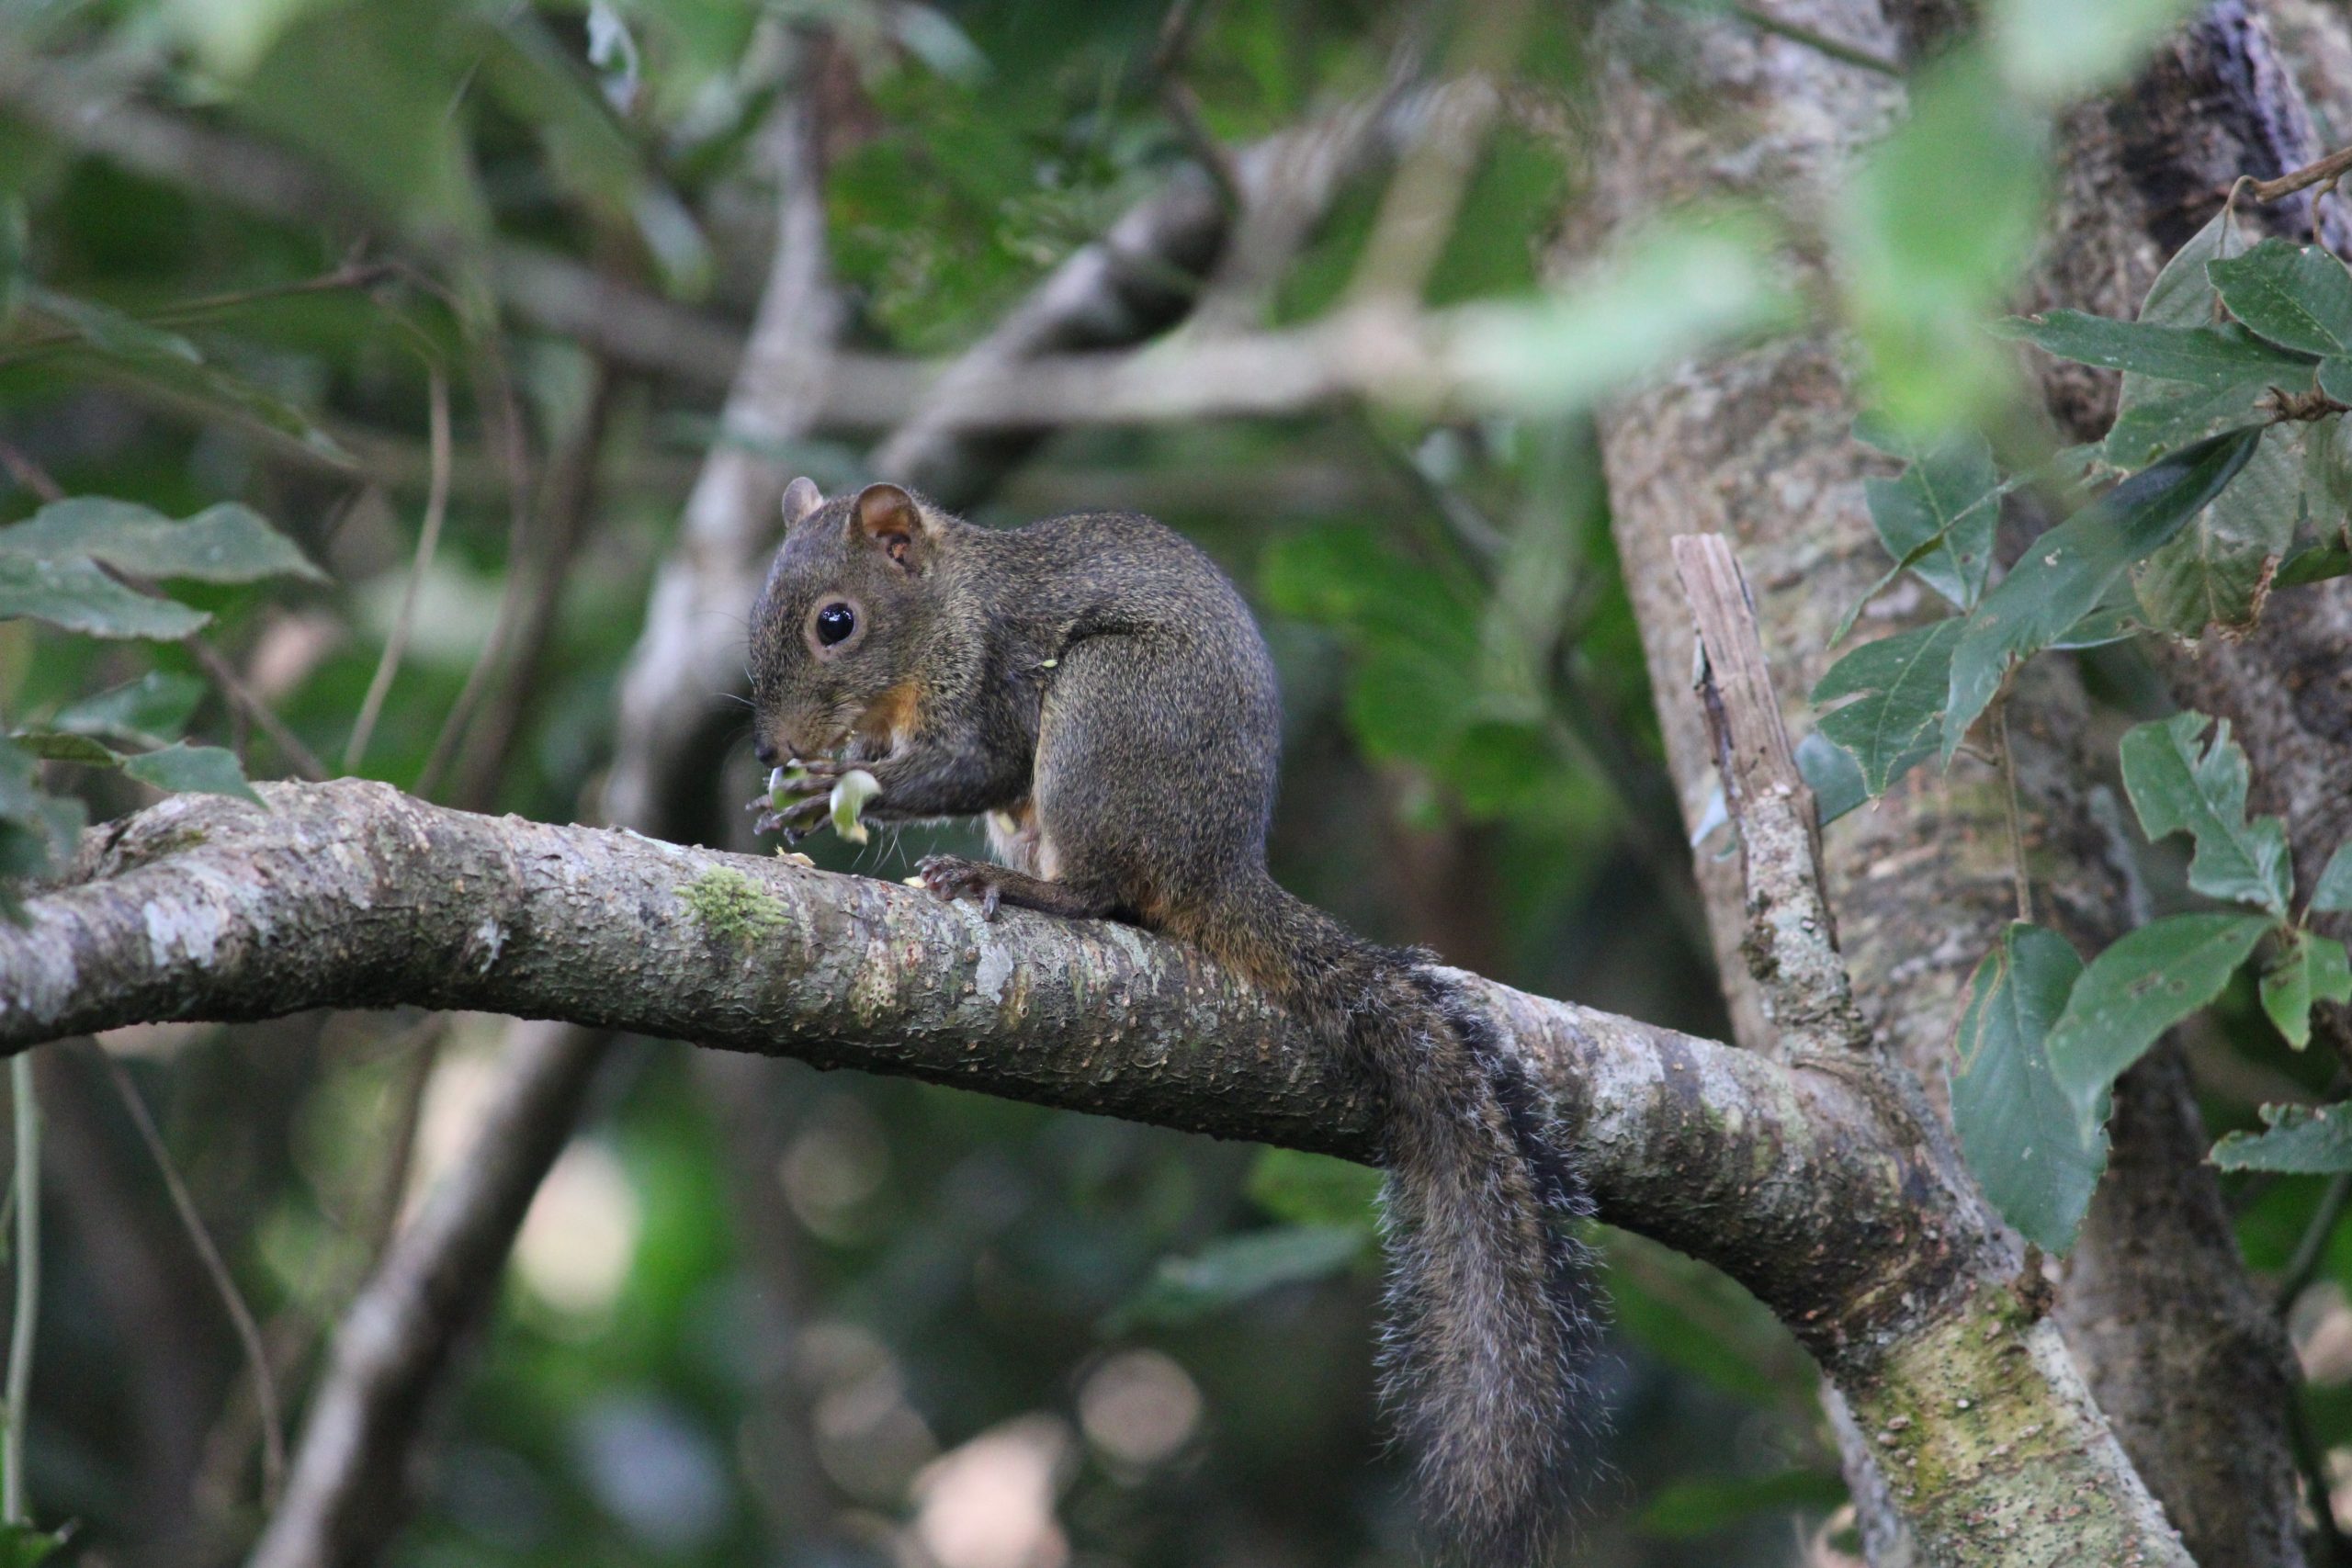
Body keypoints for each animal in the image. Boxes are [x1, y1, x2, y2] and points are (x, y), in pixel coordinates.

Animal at [742, 479, 1609, 1568]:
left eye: (836, 624)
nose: (773, 748)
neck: (942, 603)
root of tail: (1219, 866)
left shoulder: (991, 673)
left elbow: (977, 760)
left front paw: (833, 790)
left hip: (1108, 709)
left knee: (1107, 889)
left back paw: (1017, 885)